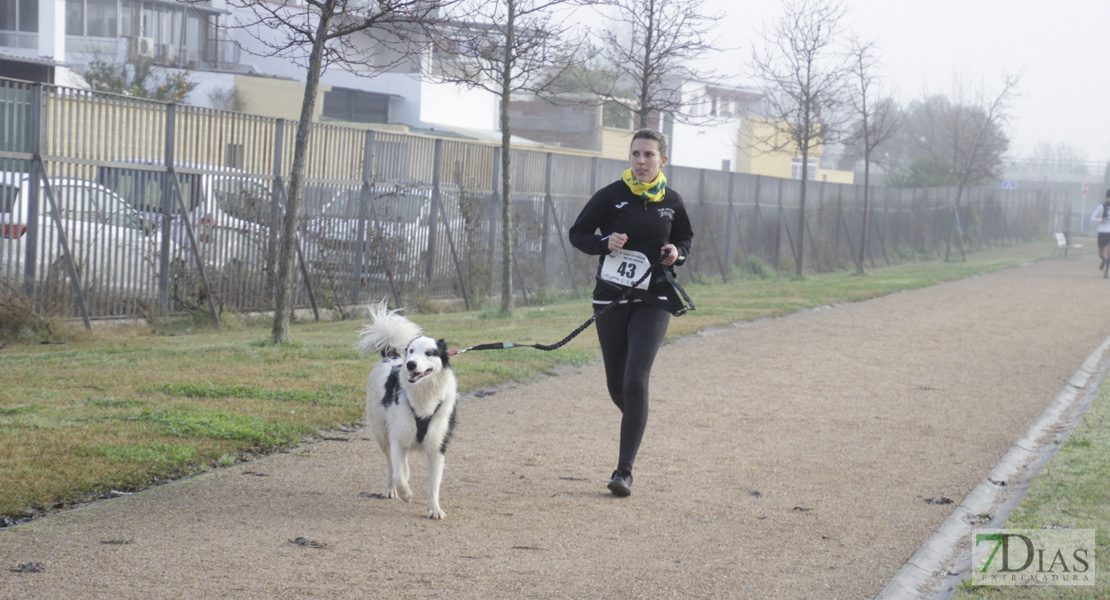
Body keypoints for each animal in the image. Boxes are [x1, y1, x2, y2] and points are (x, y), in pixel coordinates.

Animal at [359, 301, 455, 516]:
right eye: (411, 351)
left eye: (429, 353)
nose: (410, 364)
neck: (422, 396)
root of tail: (391, 354)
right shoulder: (397, 438)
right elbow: (398, 474)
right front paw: (406, 494)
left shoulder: (437, 445)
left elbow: (434, 484)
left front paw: (434, 509)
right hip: (382, 432)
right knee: (390, 465)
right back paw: (390, 489)